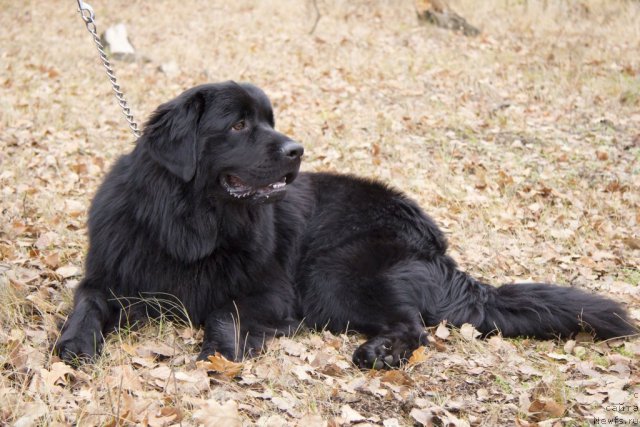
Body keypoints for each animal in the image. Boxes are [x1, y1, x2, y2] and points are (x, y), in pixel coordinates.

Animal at [55, 82, 636, 370]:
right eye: (239, 124)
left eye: (269, 119)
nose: (297, 150)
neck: (191, 228)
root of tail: (436, 244)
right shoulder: (111, 274)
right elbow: (87, 303)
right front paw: (76, 346)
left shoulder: (271, 292)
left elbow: (223, 309)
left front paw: (221, 351)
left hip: (332, 271)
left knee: (414, 325)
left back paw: (381, 353)